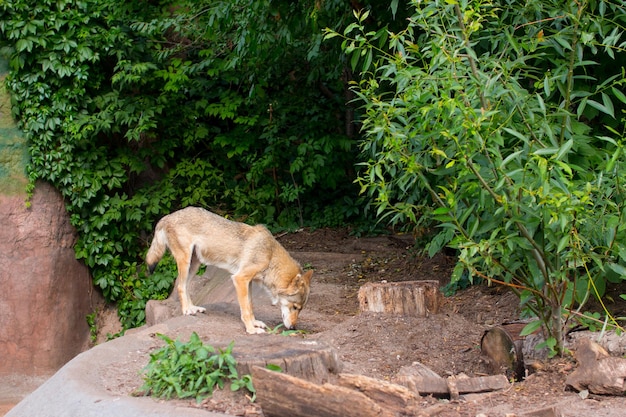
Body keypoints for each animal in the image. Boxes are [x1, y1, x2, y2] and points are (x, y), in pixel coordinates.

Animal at [146, 206, 312, 334]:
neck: (270, 256)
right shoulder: (240, 279)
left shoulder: (248, 282)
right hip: (185, 262)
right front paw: (251, 330)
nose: (293, 328)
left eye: (301, 309)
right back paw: (187, 310)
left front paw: (255, 323)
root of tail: (167, 217)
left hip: (194, 265)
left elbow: (250, 305)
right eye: (295, 307)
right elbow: (245, 309)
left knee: (185, 286)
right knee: (180, 286)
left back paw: (193, 308)